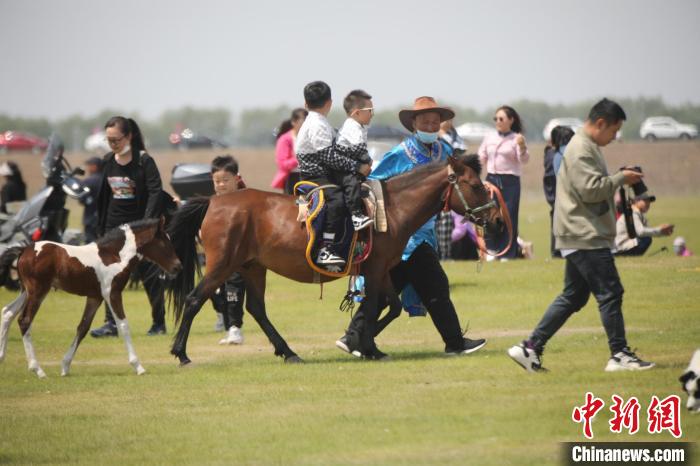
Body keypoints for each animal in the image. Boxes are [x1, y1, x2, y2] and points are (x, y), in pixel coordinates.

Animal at [0, 219, 183, 378]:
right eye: (164, 243)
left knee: (7, 312)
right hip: (38, 291)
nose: (177, 267)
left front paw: (65, 366)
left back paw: (2, 356)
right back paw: (37, 370)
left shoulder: (95, 297)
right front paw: (138, 366)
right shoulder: (112, 293)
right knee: (24, 320)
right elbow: (123, 325)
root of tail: (24, 250)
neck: (115, 255)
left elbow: (83, 327)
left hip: (26, 291)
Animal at [166, 154, 500, 364]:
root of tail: (213, 202)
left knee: (257, 309)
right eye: (476, 185)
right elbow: (373, 306)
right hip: (222, 265)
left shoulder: (383, 270)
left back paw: (289, 352)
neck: (392, 209)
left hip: (253, 267)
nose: (496, 218)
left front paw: (360, 344)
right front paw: (366, 346)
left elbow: (391, 306)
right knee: (194, 300)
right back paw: (181, 353)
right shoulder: (375, 269)